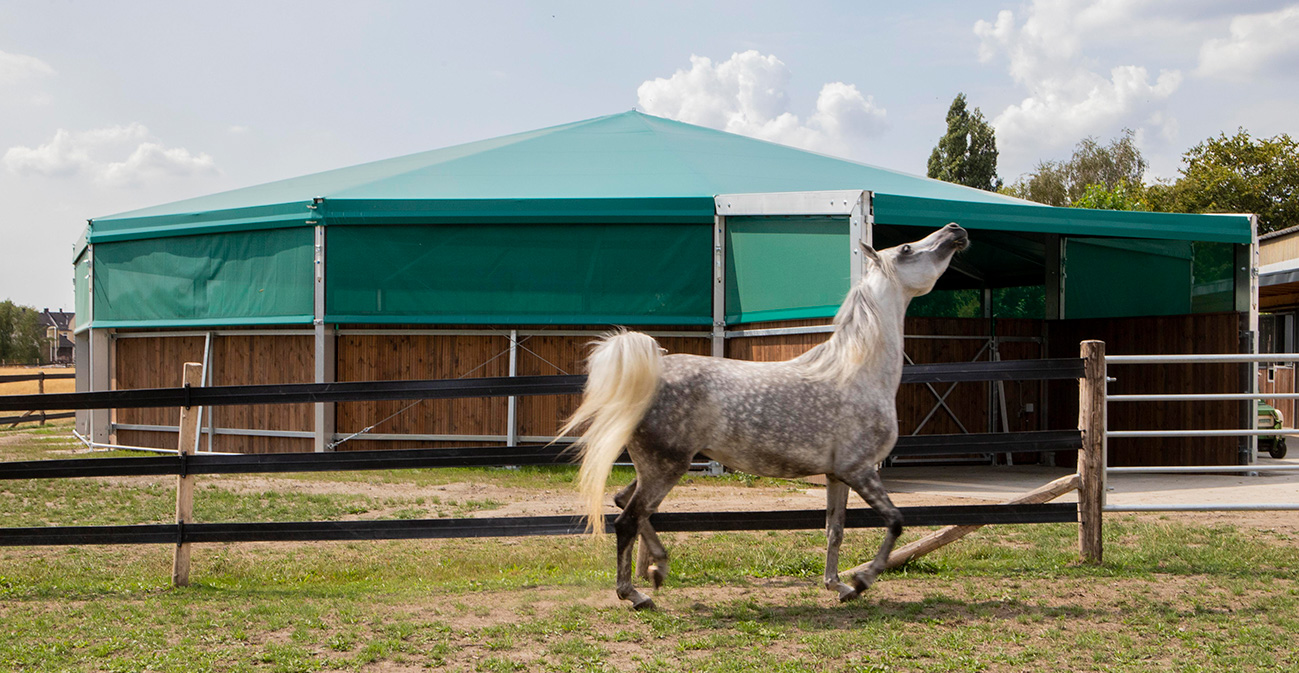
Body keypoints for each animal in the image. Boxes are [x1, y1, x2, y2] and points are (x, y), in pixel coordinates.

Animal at [563, 224, 971, 610]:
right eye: (906, 249)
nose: (955, 230)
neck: (858, 372)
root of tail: (647, 377)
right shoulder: (860, 470)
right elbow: (896, 521)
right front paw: (861, 581)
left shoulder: (837, 475)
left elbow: (835, 530)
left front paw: (837, 585)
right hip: (664, 468)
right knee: (627, 520)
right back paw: (635, 594)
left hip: (656, 467)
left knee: (622, 501)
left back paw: (658, 568)